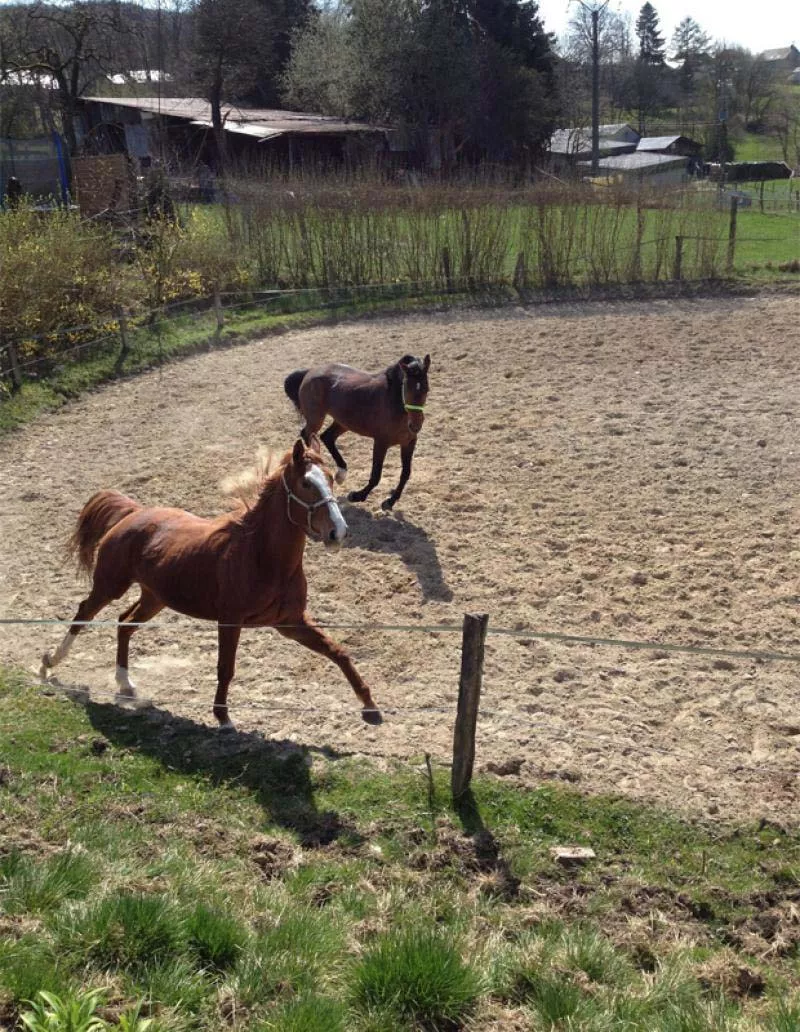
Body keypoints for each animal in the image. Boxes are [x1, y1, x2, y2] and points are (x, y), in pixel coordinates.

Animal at [39, 439, 384, 730]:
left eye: (331, 478)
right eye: (307, 483)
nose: (338, 532)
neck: (260, 556)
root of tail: (133, 514)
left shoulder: (289, 622)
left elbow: (338, 652)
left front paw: (370, 707)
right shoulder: (230, 621)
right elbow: (225, 667)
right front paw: (223, 717)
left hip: (154, 597)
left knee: (124, 623)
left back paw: (125, 684)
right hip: (111, 585)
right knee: (84, 613)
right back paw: (49, 664)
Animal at [282, 355, 429, 511]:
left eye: (426, 390)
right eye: (406, 388)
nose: (415, 426)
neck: (395, 404)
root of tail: (310, 371)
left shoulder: (408, 443)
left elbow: (406, 473)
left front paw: (390, 501)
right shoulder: (381, 442)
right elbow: (376, 475)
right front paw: (357, 496)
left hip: (343, 422)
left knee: (327, 437)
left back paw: (341, 473)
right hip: (316, 419)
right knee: (307, 434)